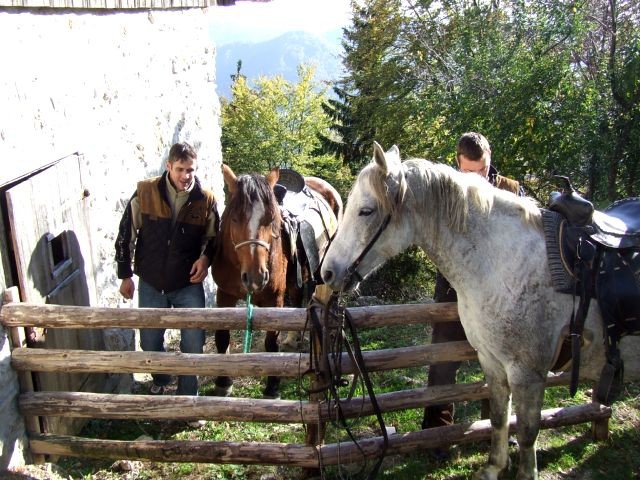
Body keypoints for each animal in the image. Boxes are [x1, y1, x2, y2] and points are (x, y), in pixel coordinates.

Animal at [212, 164, 342, 398]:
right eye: (234, 218)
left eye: (272, 219)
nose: (256, 276)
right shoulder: (224, 295)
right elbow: (222, 336)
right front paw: (223, 382)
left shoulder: (274, 300)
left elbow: (271, 342)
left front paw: (272, 386)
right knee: (299, 301)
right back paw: (291, 339)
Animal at [322, 142, 640, 480]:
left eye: (366, 211)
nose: (327, 273)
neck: (501, 262)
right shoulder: (492, 362)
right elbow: (499, 418)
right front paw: (494, 467)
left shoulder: (528, 373)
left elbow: (527, 432)